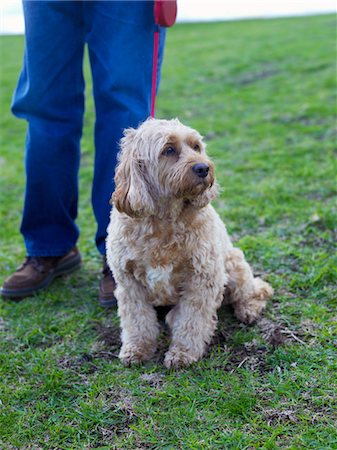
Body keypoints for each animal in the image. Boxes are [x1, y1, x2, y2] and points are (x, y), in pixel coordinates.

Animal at [106, 118, 272, 368]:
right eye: (168, 150)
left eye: (196, 147)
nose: (204, 168)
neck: (164, 218)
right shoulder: (128, 282)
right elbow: (137, 319)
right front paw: (136, 349)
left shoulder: (203, 277)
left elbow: (191, 320)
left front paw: (183, 353)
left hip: (233, 265)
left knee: (253, 290)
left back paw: (248, 309)